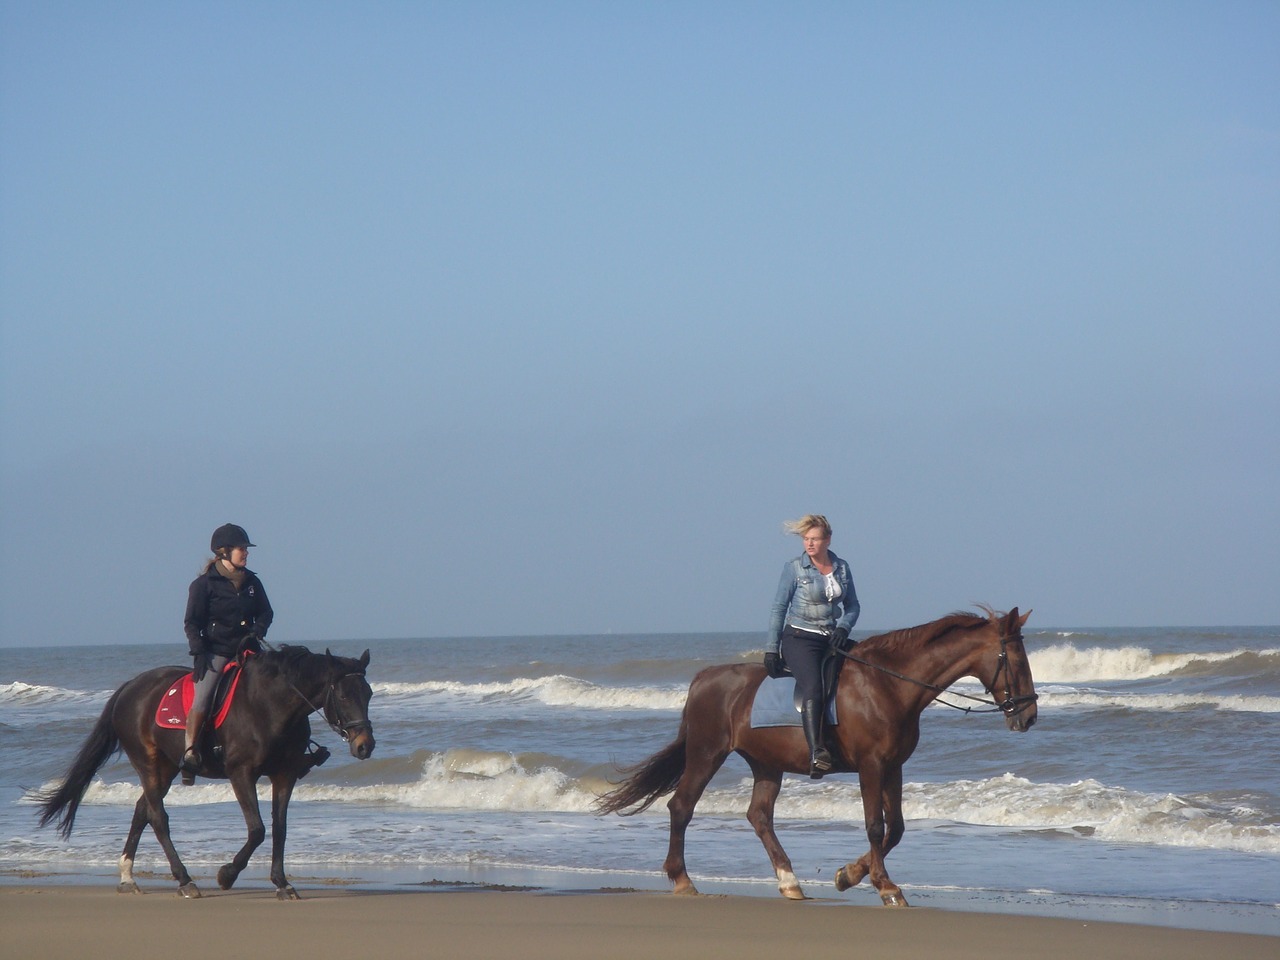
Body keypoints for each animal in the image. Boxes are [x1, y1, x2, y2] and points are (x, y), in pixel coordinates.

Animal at [35, 647, 373, 901]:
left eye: (368, 693)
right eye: (344, 696)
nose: (365, 746)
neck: (270, 706)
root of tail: (130, 686)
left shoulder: (284, 775)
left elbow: (280, 828)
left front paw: (282, 883)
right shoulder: (241, 773)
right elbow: (257, 829)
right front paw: (227, 875)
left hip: (167, 768)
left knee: (142, 810)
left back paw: (128, 877)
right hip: (148, 764)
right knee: (158, 817)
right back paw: (185, 880)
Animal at [593, 609, 1034, 911]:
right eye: (1015, 660)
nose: (1028, 716)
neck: (888, 686)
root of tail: (703, 679)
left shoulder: (893, 766)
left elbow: (896, 829)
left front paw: (847, 876)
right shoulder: (872, 765)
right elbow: (876, 826)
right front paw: (885, 887)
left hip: (766, 765)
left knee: (759, 816)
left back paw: (789, 881)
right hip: (706, 753)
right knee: (682, 807)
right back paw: (682, 880)